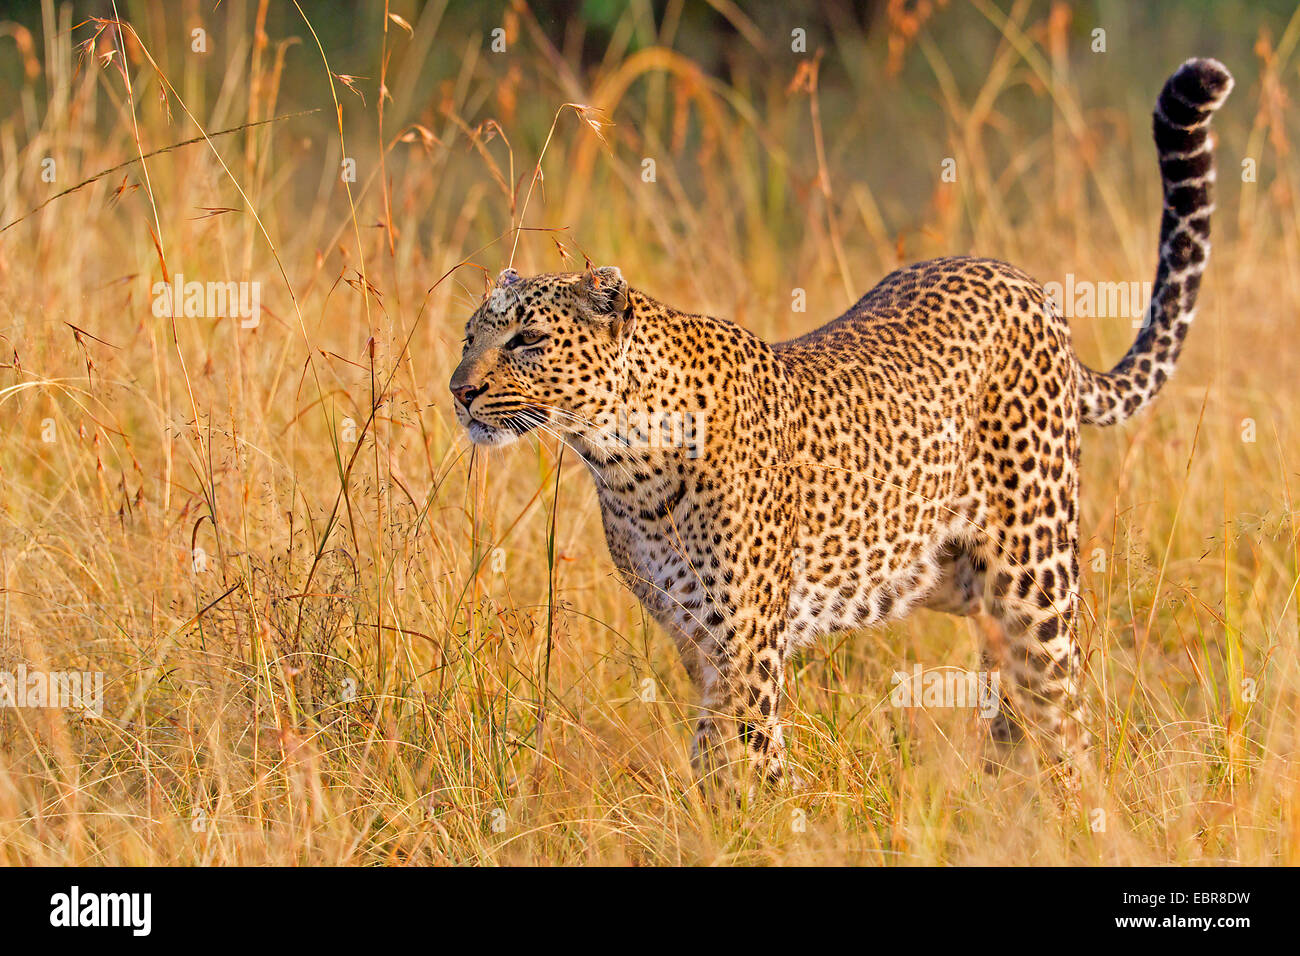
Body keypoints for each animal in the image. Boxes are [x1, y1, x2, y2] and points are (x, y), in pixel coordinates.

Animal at [452, 59, 1232, 790]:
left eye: (526, 340)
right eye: (470, 336)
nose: (459, 391)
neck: (623, 462)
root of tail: (1028, 286)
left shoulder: (744, 650)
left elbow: (750, 764)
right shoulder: (694, 640)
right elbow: (712, 759)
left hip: (1034, 575)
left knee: (1061, 707)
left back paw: (1069, 808)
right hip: (943, 571)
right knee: (1015, 706)